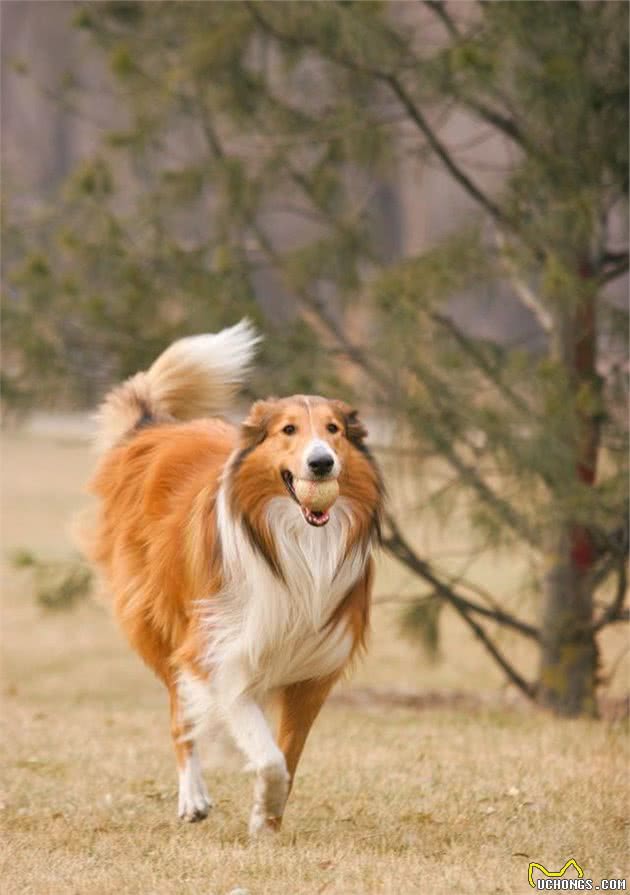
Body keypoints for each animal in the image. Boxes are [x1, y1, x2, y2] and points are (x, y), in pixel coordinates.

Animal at [84, 320, 386, 832]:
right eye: (288, 430)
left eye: (334, 430)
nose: (321, 462)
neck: (296, 542)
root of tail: (154, 428)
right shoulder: (221, 652)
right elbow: (266, 754)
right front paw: (262, 805)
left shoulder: (313, 668)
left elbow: (288, 756)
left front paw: (268, 817)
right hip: (160, 624)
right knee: (180, 718)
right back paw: (193, 798)